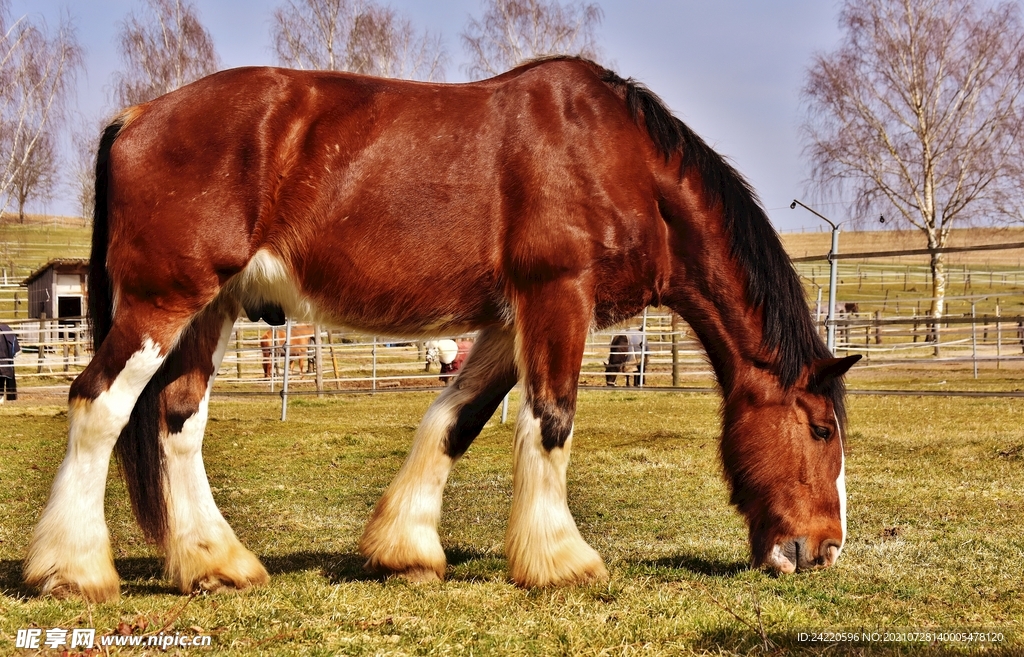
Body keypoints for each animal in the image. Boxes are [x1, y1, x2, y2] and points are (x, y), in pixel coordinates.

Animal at [25, 57, 859, 602]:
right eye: (820, 428)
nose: (823, 550)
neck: (619, 160)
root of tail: (137, 117)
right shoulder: (558, 296)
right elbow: (551, 421)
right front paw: (561, 560)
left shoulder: (505, 321)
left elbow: (455, 419)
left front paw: (406, 549)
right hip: (163, 302)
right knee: (99, 404)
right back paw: (74, 570)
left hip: (211, 309)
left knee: (177, 417)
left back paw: (215, 564)